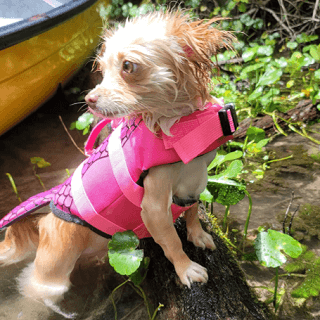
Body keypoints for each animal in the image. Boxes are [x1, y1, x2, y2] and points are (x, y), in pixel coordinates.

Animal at [0, 10, 235, 316]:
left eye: (127, 66)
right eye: (102, 69)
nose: (88, 99)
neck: (178, 125)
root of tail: (43, 222)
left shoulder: (195, 181)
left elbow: (193, 210)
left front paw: (198, 235)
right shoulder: (154, 207)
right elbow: (171, 240)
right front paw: (186, 269)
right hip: (53, 269)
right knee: (33, 294)